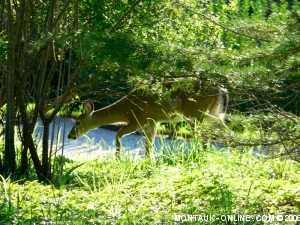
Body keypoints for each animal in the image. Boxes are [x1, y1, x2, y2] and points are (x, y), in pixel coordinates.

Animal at [67, 84, 227, 156]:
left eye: (77, 122)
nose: (70, 135)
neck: (124, 108)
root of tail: (222, 90)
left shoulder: (139, 119)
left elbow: (118, 134)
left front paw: (118, 158)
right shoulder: (154, 121)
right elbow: (148, 143)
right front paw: (148, 161)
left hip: (195, 114)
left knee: (204, 137)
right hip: (214, 114)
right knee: (225, 132)